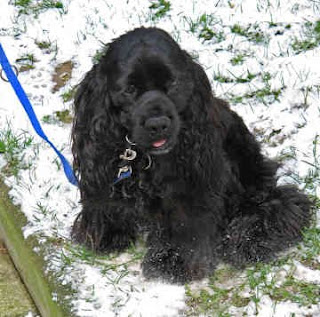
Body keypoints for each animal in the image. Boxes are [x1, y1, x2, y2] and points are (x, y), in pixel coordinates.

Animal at [71, 27, 312, 282]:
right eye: (130, 89)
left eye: (173, 83)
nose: (157, 124)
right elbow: (105, 202)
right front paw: (106, 233)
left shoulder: (192, 176)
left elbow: (184, 217)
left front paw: (172, 261)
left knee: (276, 205)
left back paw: (245, 240)